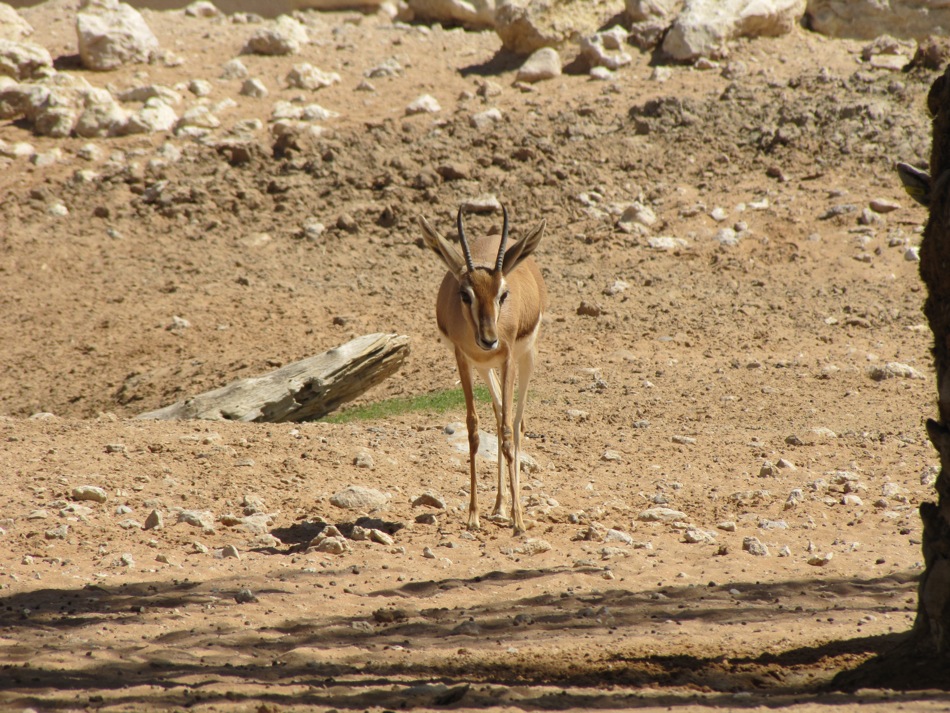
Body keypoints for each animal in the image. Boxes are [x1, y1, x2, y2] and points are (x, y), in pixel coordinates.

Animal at [419, 205, 547, 535]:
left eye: (503, 294)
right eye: (465, 294)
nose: (489, 339)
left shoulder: (508, 359)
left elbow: (508, 431)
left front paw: (519, 521)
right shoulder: (463, 359)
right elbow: (473, 429)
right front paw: (473, 515)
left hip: (526, 358)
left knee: (515, 423)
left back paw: (512, 511)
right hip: (485, 369)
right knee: (498, 411)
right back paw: (499, 506)